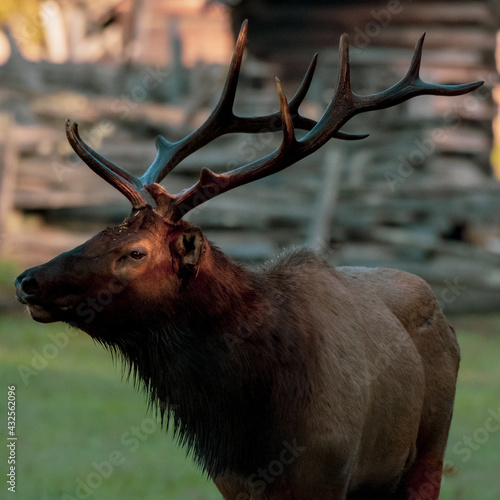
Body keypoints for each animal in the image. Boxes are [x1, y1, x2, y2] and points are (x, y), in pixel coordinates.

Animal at [15, 23, 482, 500]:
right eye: (100, 232)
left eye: (136, 252)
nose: (27, 281)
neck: (255, 430)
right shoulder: (232, 483)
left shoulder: (331, 472)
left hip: (428, 451)